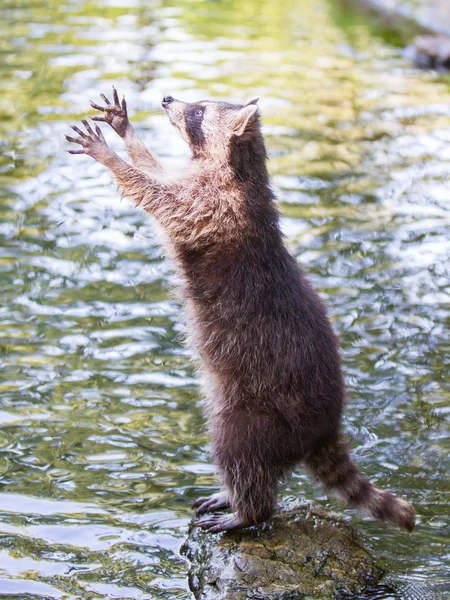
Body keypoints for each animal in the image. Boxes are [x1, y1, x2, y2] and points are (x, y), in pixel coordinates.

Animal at [66, 90, 414, 536]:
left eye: (198, 111)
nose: (167, 98)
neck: (241, 168)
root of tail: (325, 428)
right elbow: (158, 173)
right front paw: (128, 135)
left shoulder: (210, 205)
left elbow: (155, 194)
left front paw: (110, 156)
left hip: (259, 414)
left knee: (238, 453)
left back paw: (248, 510)